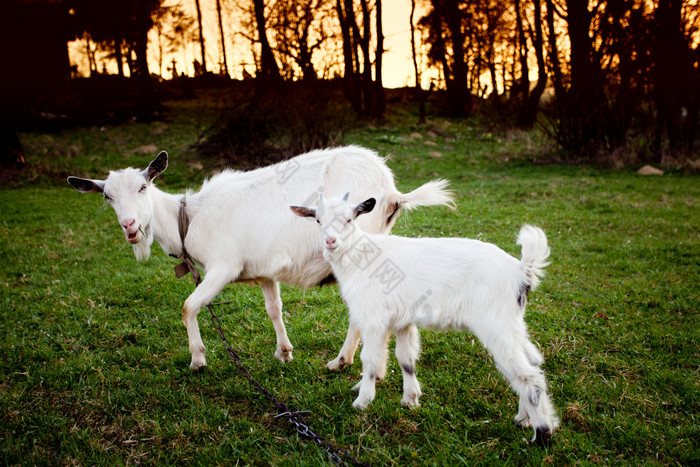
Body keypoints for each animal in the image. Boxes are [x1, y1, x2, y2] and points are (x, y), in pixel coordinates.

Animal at [67, 147, 454, 372]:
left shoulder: (224, 267)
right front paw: (284, 352)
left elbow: (188, 307)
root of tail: (391, 192)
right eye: (107, 196)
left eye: (143, 187)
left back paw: (340, 361)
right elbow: (274, 310)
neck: (187, 218)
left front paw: (198, 359)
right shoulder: (266, 270)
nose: (130, 226)